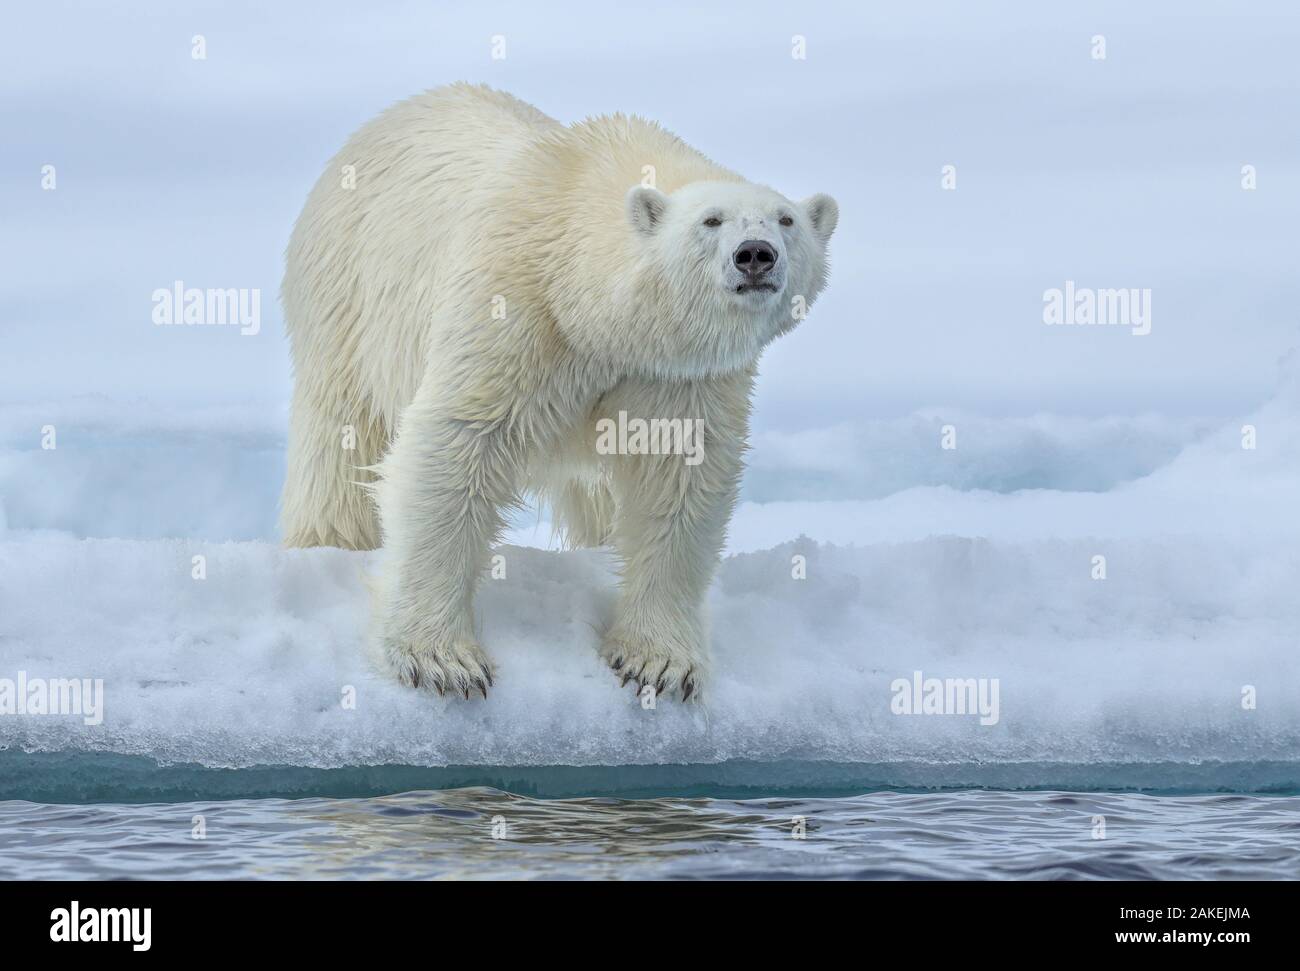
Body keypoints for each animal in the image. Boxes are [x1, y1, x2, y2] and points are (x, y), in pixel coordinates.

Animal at [280, 83, 837, 701]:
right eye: (711, 220)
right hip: (347, 299)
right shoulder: (515, 310)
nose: (756, 253)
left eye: (787, 220)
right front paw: (439, 659)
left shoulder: (675, 372)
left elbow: (680, 478)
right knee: (341, 444)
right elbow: (456, 444)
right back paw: (326, 542)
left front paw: (659, 663)